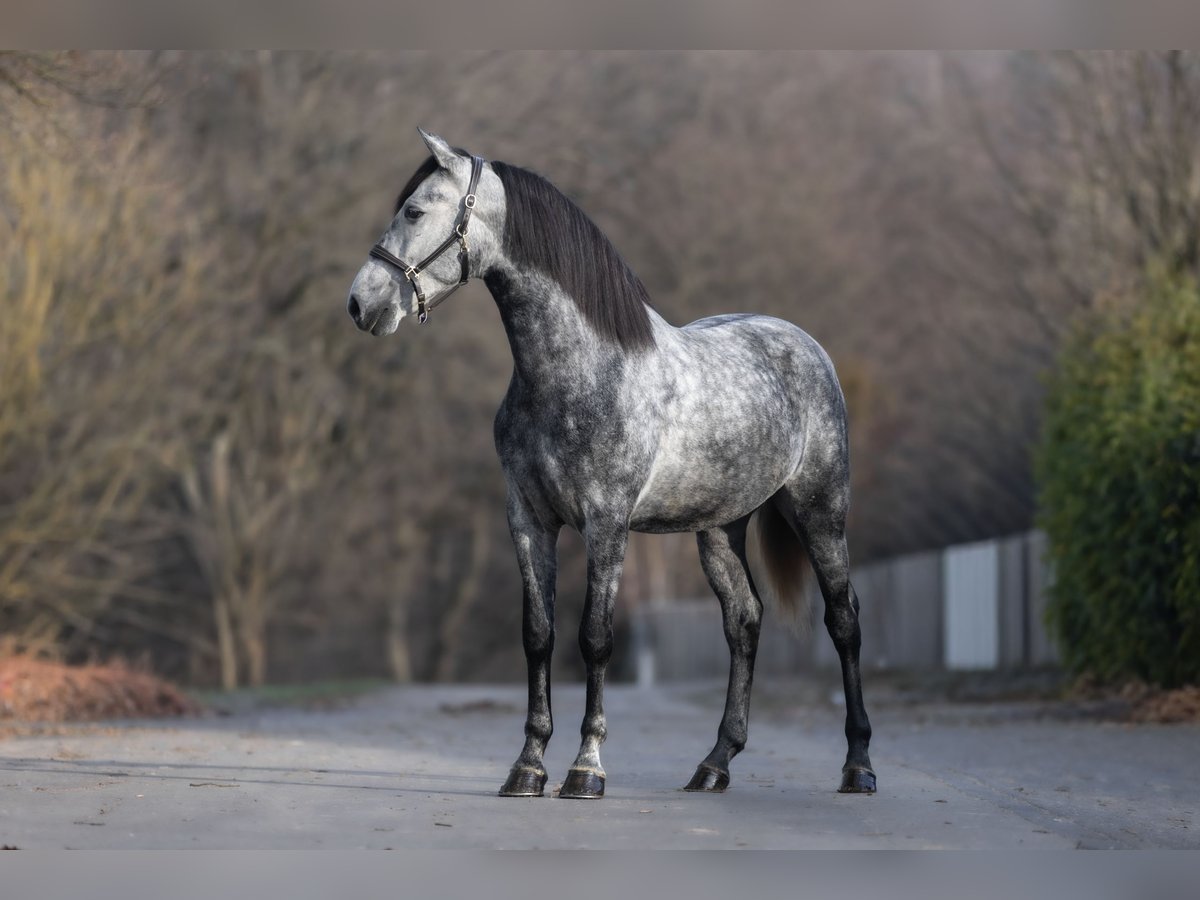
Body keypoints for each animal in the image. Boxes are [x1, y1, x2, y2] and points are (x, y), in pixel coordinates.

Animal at [347, 129, 876, 800]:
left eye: (414, 211)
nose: (360, 303)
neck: (578, 371)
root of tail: (806, 346)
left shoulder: (606, 524)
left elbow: (594, 638)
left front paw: (585, 768)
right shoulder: (528, 520)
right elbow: (538, 636)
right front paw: (527, 766)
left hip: (819, 512)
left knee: (843, 619)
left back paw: (858, 765)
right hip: (719, 529)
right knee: (743, 622)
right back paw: (714, 765)